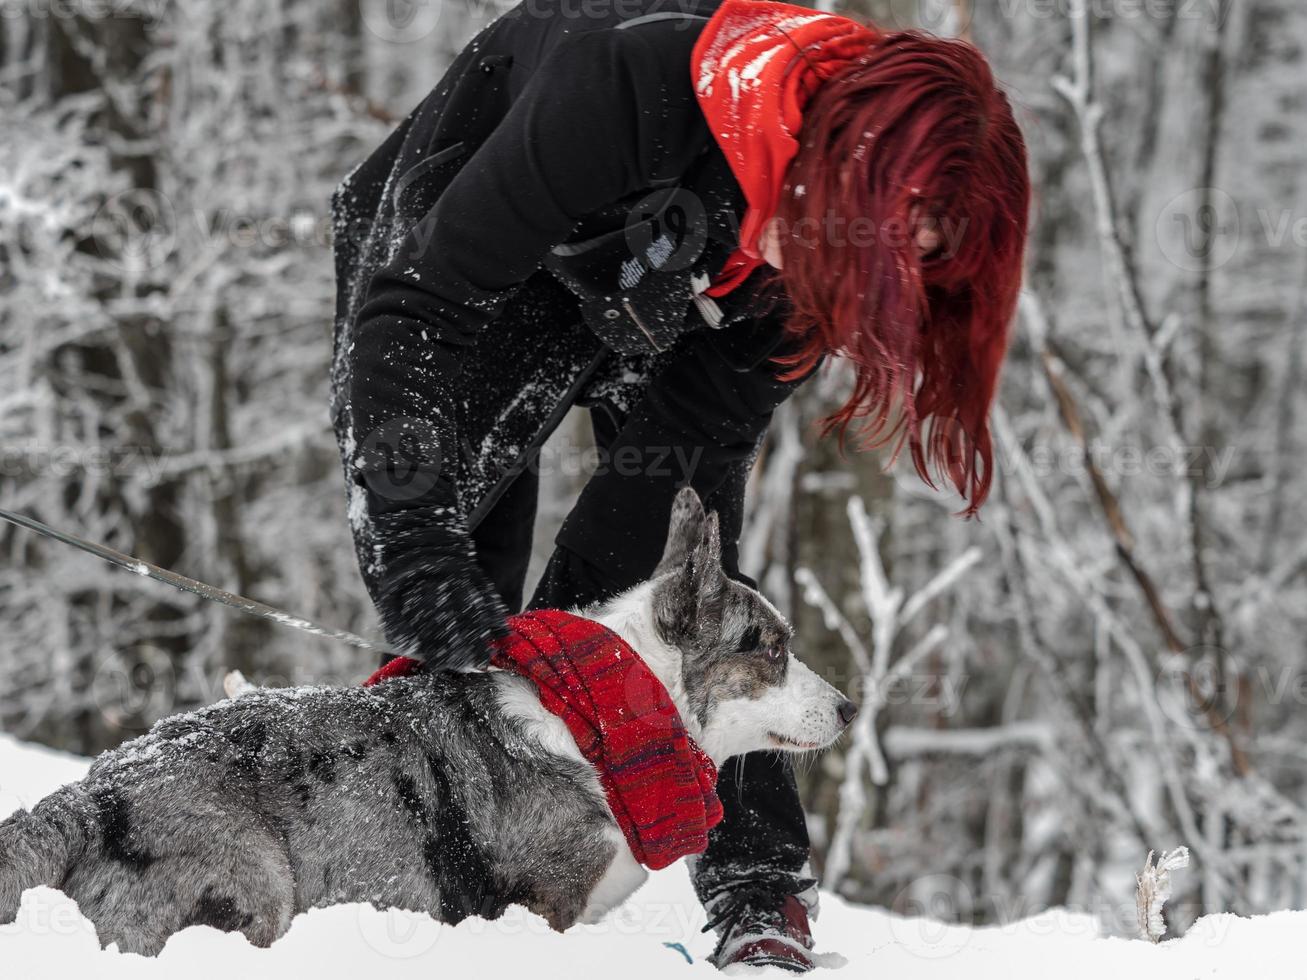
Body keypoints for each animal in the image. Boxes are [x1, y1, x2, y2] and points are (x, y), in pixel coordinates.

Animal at [0, 491, 857, 961]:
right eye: (770, 648)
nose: (850, 708)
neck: (608, 714)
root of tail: (89, 795)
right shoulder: (551, 904)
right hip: (257, 885)